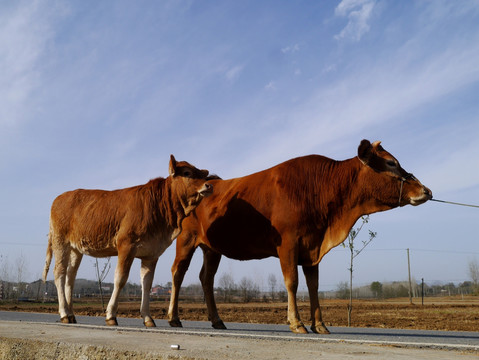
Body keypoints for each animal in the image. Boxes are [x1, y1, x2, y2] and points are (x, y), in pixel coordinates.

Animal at [42, 155, 212, 326]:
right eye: (187, 173)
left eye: (202, 174)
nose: (208, 185)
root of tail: (60, 197)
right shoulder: (126, 245)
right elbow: (120, 279)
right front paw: (111, 315)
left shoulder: (151, 253)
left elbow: (147, 284)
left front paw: (147, 317)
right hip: (60, 242)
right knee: (59, 273)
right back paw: (64, 313)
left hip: (76, 249)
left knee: (70, 277)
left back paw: (71, 315)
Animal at [169, 141, 436, 334]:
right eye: (391, 163)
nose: (426, 190)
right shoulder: (288, 244)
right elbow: (292, 282)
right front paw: (296, 323)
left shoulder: (311, 247)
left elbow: (313, 286)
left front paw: (320, 324)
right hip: (186, 240)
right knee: (178, 273)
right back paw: (174, 317)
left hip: (211, 248)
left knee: (206, 279)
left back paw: (217, 320)